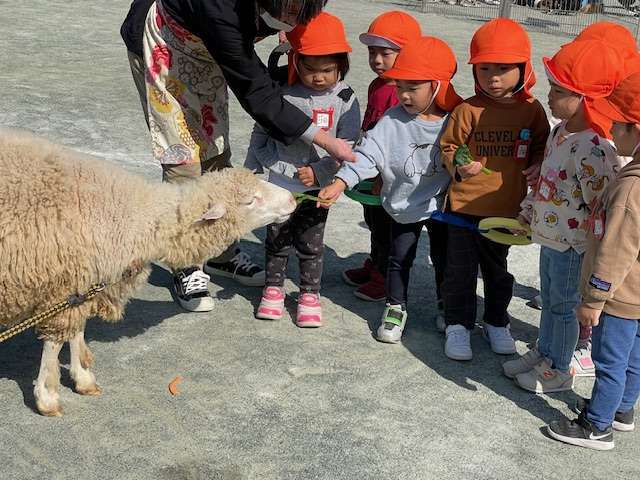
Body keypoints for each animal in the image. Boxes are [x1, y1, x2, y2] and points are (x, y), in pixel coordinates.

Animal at [0, 128, 296, 416]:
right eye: (250, 201)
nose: (293, 199)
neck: (130, 217)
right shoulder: (64, 284)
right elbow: (55, 342)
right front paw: (48, 396)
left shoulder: (82, 283)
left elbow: (76, 332)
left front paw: (83, 378)